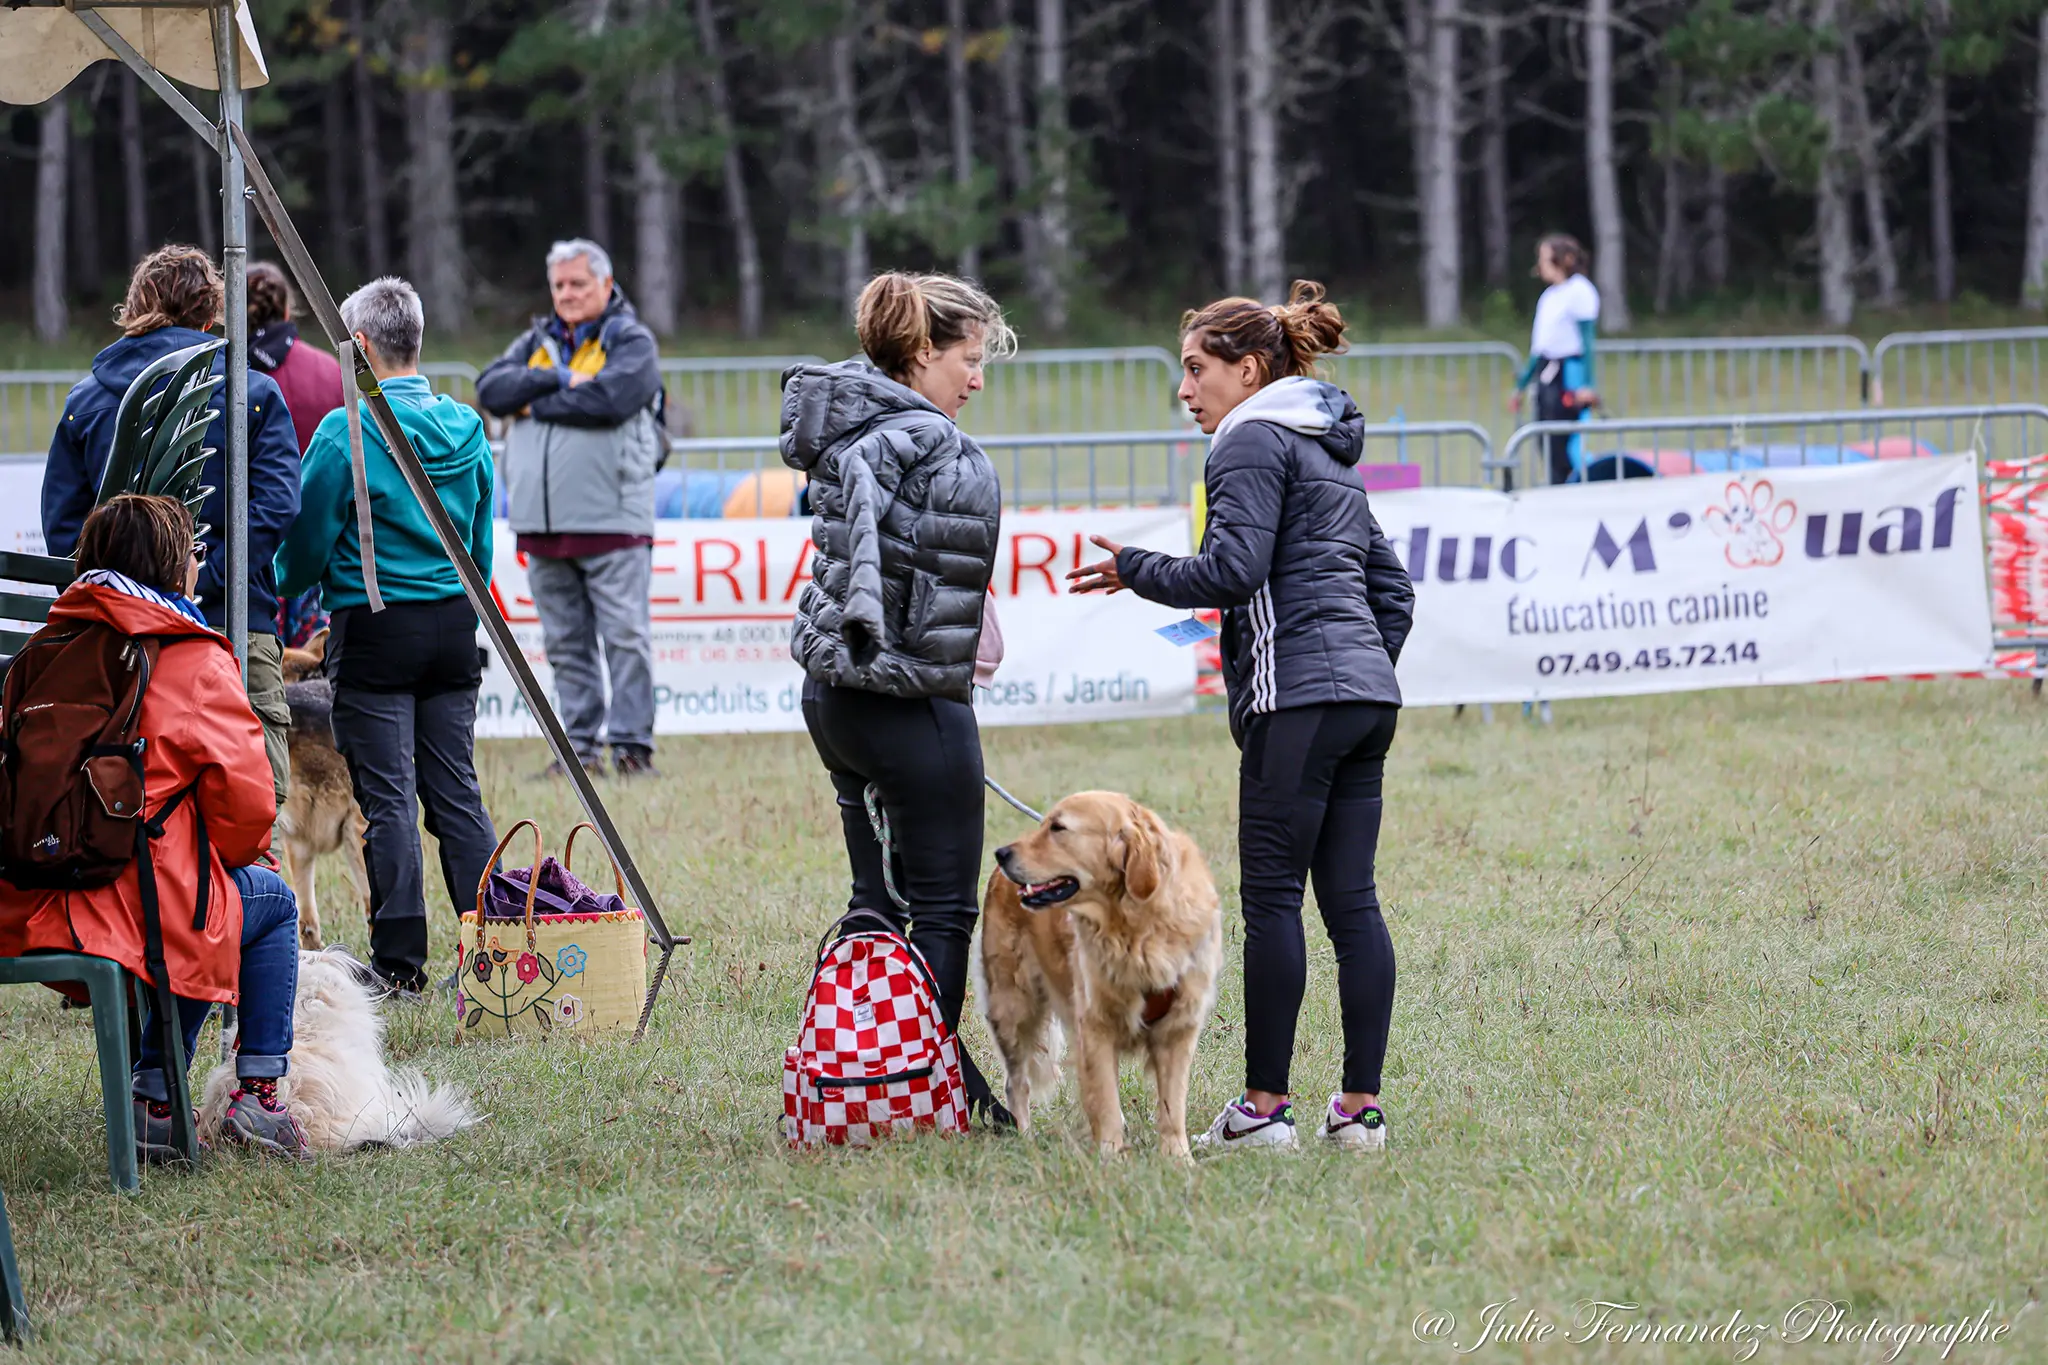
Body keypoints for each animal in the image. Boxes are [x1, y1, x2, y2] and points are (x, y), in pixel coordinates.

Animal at [974, 794, 1212, 1162]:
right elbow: (1106, 1103)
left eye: (1058, 827)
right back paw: (1025, 1137)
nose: (1001, 853)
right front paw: (1113, 1158)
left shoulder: (1178, 1029)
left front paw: (1178, 1159)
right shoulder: (1096, 1026)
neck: (1135, 926)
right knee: (1017, 1083)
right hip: (1012, 1006)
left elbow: (1172, 1107)